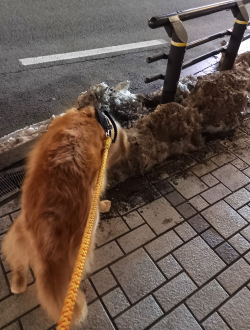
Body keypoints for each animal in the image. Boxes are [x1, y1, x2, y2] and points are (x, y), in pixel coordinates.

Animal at [1, 106, 127, 324]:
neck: (97, 120)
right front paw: (104, 204)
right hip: (81, 244)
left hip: (17, 235)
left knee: (17, 263)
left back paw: (18, 284)